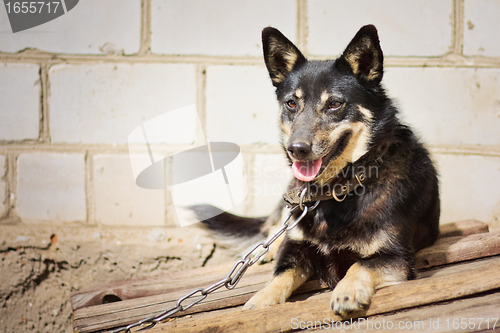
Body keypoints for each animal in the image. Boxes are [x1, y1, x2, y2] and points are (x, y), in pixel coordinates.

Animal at [197, 24, 440, 316]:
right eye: (291, 103)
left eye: (334, 104)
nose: (296, 149)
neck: (338, 190)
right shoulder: (295, 248)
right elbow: (279, 276)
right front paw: (258, 302)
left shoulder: (397, 256)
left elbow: (360, 264)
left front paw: (347, 291)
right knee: (273, 230)